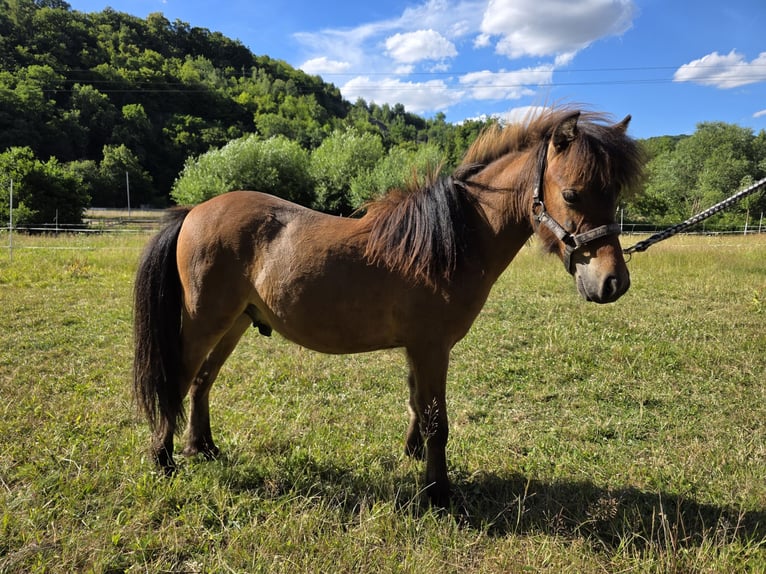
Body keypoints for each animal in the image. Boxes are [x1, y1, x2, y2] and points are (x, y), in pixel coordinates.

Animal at [133, 107, 644, 506]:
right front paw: (437, 493)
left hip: (235, 322)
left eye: (615, 196)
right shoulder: (431, 347)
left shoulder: (419, 349)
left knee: (202, 382)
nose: (612, 283)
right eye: (573, 193)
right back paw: (164, 460)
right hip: (204, 322)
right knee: (177, 381)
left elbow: (418, 403)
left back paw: (202, 448)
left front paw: (414, 457)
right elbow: (437, 419)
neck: (447, 241)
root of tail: (194, 212)